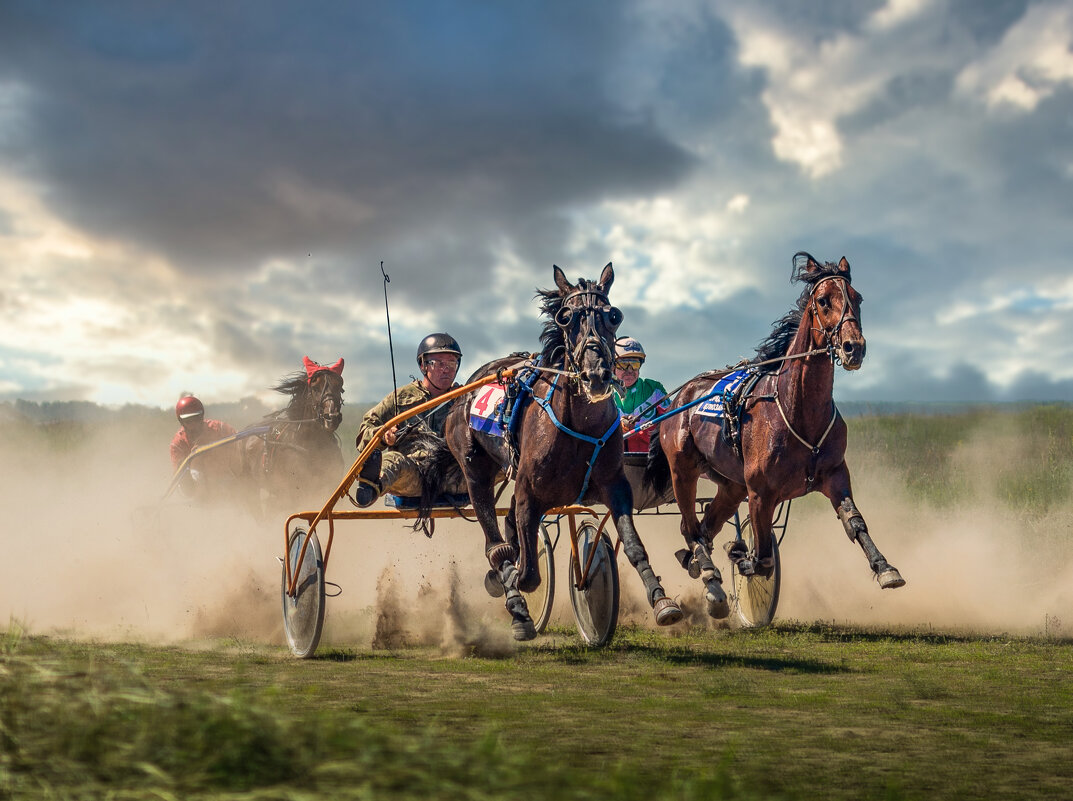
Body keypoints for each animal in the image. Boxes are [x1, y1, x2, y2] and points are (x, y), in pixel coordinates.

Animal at [418, 265, 678, 643]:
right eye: (566, 317)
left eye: (614, 315)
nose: (596, 375)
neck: (580, 426)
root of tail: (464, 390)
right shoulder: (530, 492)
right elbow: (527, 573)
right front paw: (513, 587)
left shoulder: (615, 486)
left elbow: (632, 545)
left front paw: (661, 600)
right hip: (474, 470)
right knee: (494, 543)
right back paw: (514, 602)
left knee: (509, 529)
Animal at [643, 254, 905, 617]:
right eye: (823, 301)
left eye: (858, 298)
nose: (854, 348)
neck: (798, 410)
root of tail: (679, 397)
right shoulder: (760, 493)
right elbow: (764, 555)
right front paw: (741, 555)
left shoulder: (835, 475)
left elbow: (855, 523)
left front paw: (885, 568)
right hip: (683, 470)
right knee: (691, 528)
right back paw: (709, 573)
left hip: (731, 485)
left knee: (703, 528)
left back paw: (706, 576)